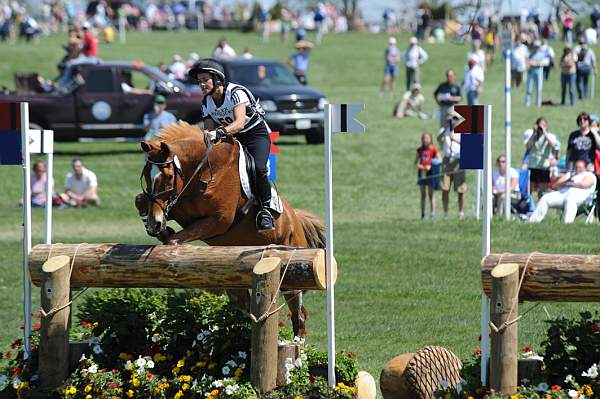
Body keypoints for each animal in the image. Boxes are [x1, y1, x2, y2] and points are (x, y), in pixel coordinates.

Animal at [134, 122, 326, 338]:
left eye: (168, 177)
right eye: (145, 176)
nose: (155, 223)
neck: (202, 172)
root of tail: (296, 219)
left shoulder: (220, 221)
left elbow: (174, 240)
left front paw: (168, 238)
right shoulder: (181, 209)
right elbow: (140, 200)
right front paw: (158, 227)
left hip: (290, 272)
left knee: (299, 314)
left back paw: (296, 345)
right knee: (247, 305)